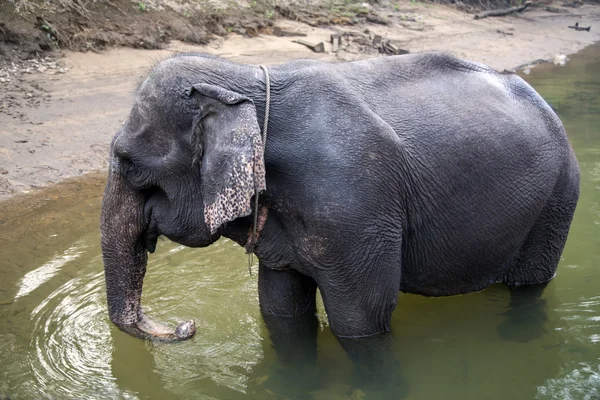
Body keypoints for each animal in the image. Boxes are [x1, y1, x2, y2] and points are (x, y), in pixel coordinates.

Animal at [101, 52, 580, 368]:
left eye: (129, 162)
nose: (187, 326)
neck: (244, 80)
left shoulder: (356, 212)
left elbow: (360, 320)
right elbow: (280, 307)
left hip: (557, 200)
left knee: (530, 285)